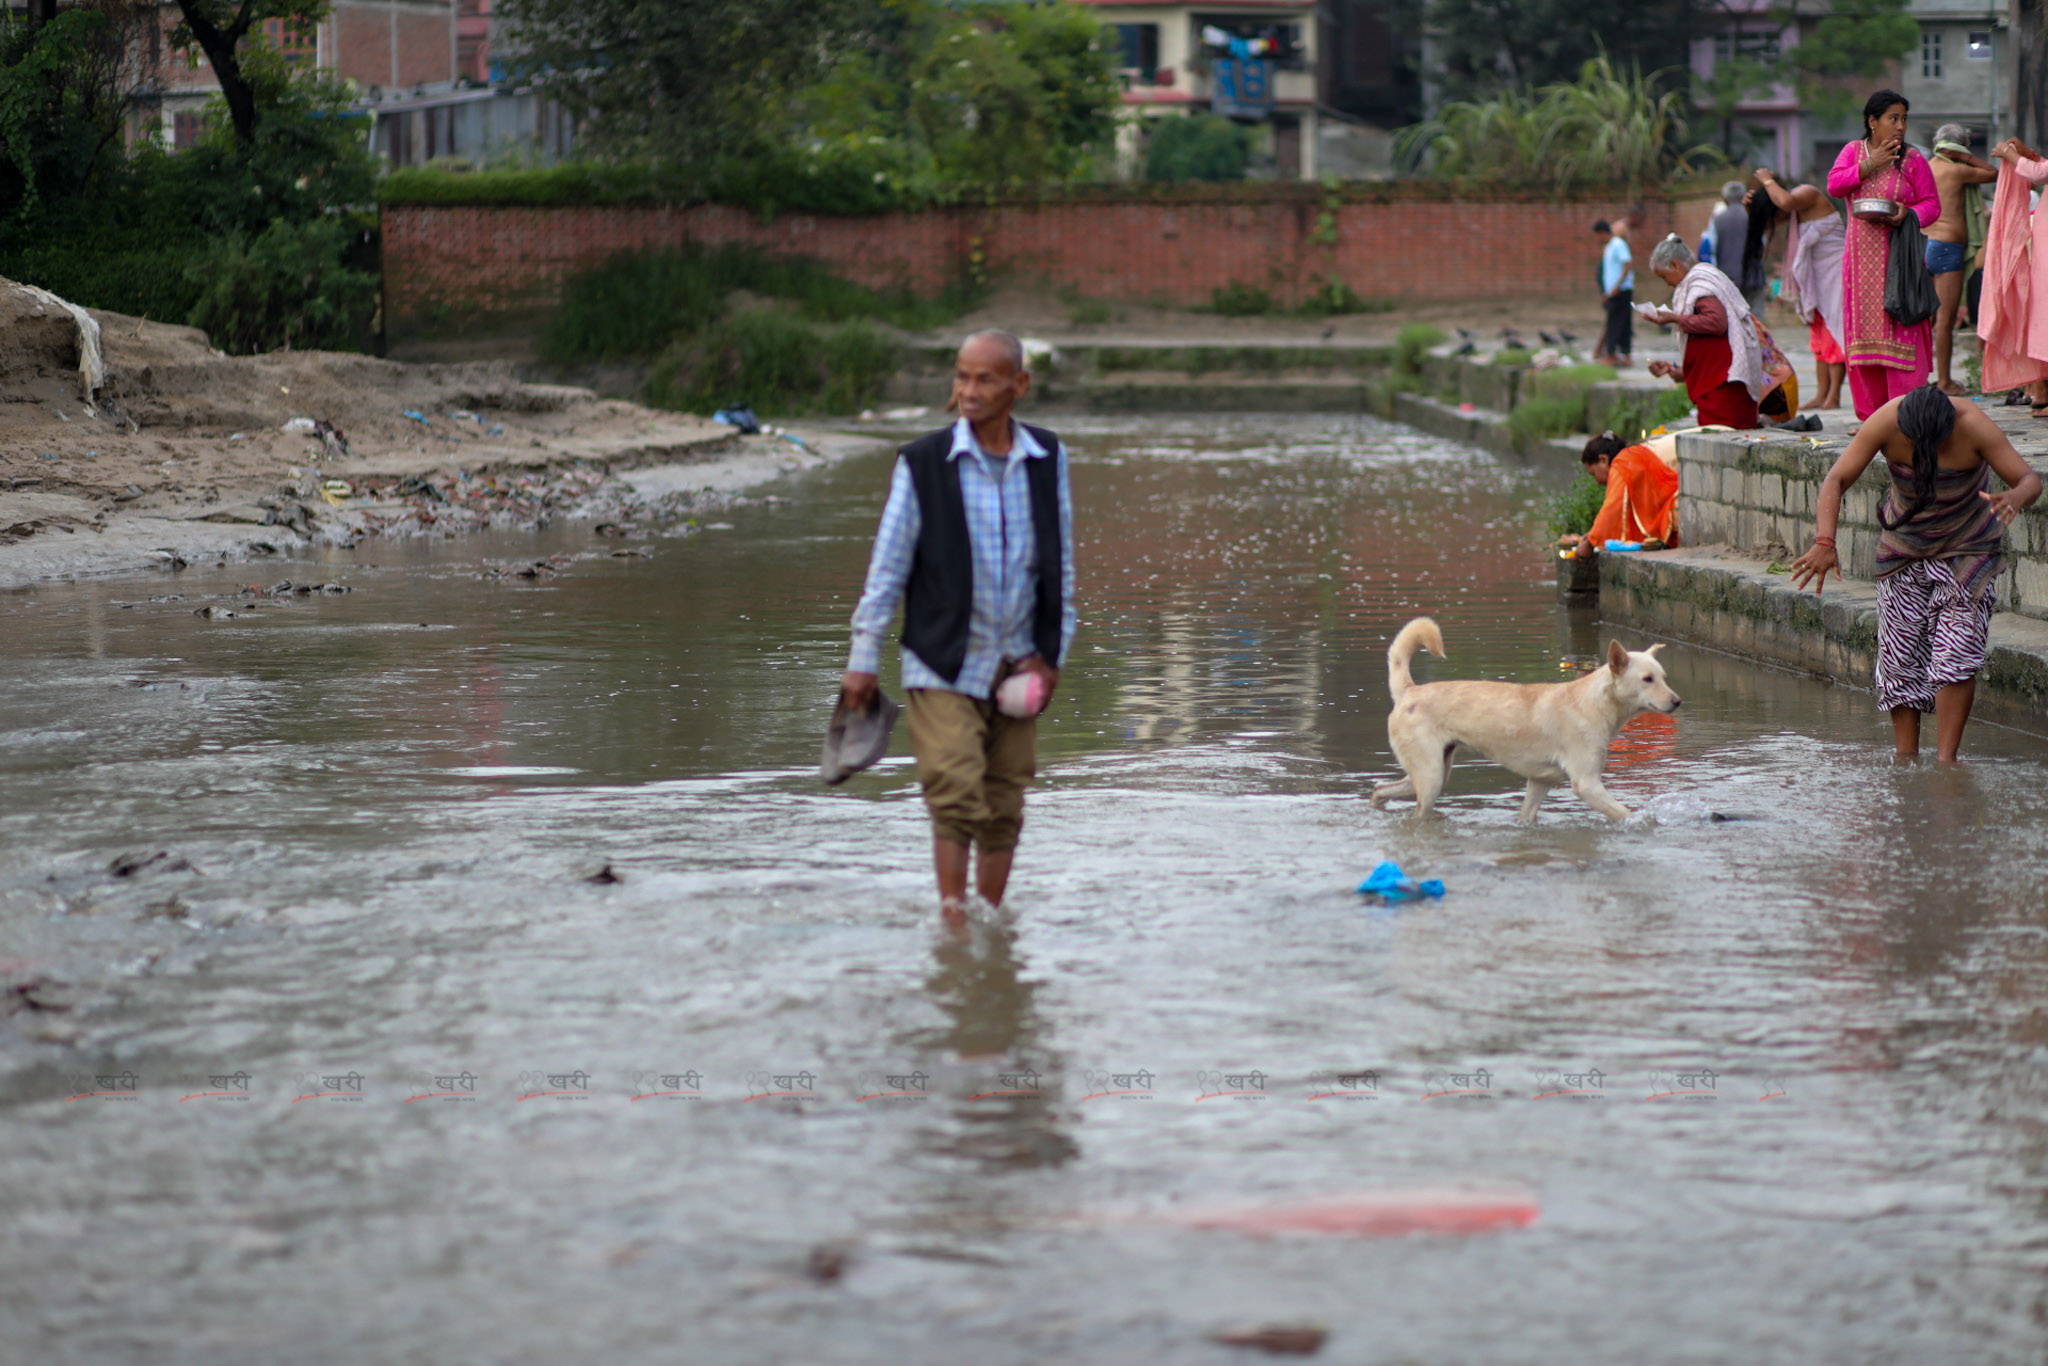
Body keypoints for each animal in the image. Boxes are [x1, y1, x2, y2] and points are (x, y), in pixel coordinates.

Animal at [1376, 618, 1679, 823]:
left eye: (1664, 677)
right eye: (1647, 679)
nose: (1677, 701)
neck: (1592, 703)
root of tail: (1409, 690)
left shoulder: (1539, 782)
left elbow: (1526, 817)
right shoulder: (1587, 784)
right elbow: (1626, 813)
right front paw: (1647, 822)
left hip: (1433, 771)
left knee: (1379, 789)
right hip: (1431, 778)